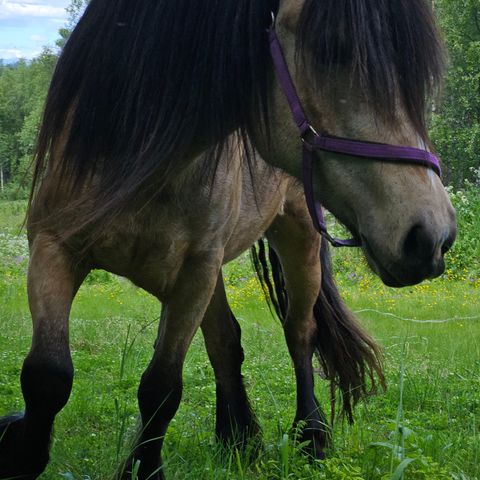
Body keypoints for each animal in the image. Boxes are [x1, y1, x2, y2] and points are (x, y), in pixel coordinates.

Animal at [0, 0, 458, 480]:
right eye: (333, 50)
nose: (432, 235)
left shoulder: (193, 275)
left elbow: (161, 385)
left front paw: (145, 467)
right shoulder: (53, 248)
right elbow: (47, 373)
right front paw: (19, 451)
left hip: (297, 239)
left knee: (299, 332)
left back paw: (311, 436)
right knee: (225, 340)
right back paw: (237, 437)